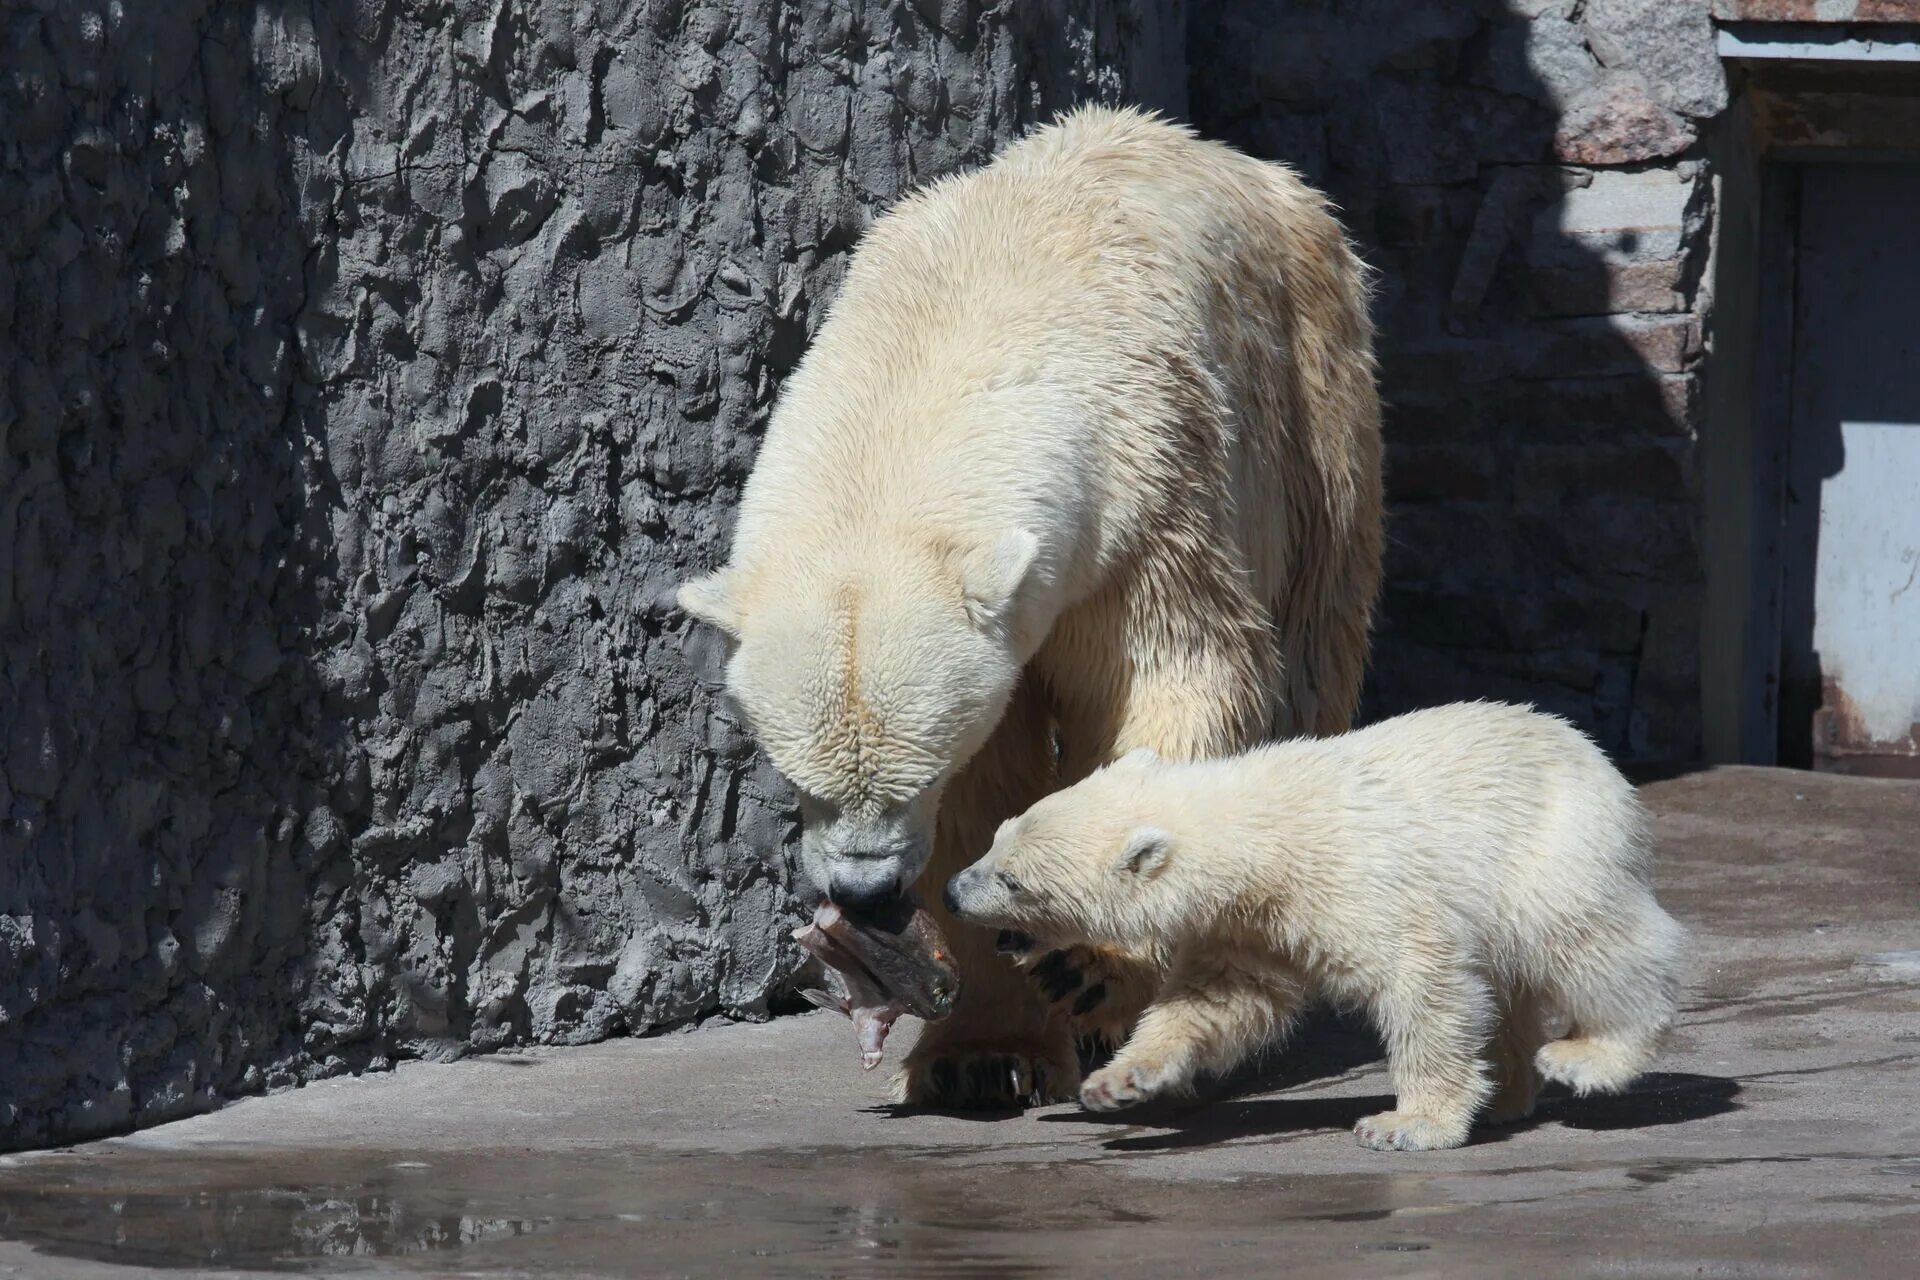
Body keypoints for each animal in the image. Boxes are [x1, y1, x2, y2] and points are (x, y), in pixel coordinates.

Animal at [675, 107, 1382, 1113]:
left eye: (916, 775)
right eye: (796, 774)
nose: (868, 893)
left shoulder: (1147, 500)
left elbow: (1173, 686)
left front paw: (1087, 967)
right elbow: (992, 788)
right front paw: (983, 1054)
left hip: (1313, 412)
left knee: (1311, 667)